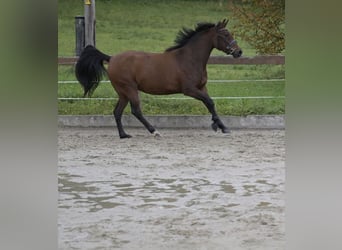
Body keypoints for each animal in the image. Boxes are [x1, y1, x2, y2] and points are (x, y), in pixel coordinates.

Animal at [77, 18, 243, 138]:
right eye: (225, 34)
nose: (239, 52)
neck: (189, 58)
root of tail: (111, 58)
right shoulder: (189, 90)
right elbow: (209, 102)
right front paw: (221, 127)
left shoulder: (202, 87)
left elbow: (210, 104)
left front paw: (220, 126)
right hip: (129, 89)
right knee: (136, 110)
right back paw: (154, 131)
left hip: (123, 93)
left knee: (117, 112)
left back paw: (124, 135)